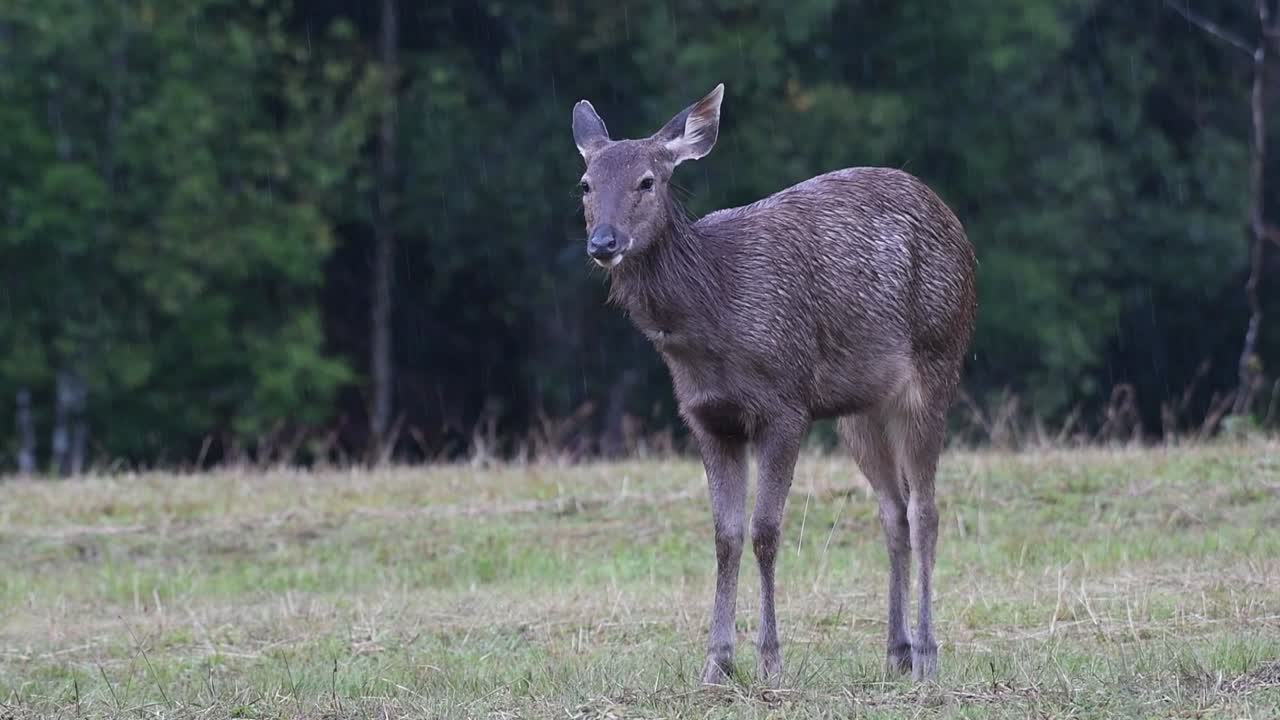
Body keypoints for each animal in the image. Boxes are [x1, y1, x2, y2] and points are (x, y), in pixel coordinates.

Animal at [571, 84, 976, 685]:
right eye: (585, 183)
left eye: (647, 180)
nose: (603, 242)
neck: (712, 315)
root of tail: (957, 227)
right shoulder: (705, 416)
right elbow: (726, 535)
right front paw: (716, 663)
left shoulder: (786, 404)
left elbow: (765, 531)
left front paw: (770, 660)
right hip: (861, 409)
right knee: (892, 511)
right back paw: (896, 651)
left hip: (937, 362)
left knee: (925, 511)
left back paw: (926, 654)